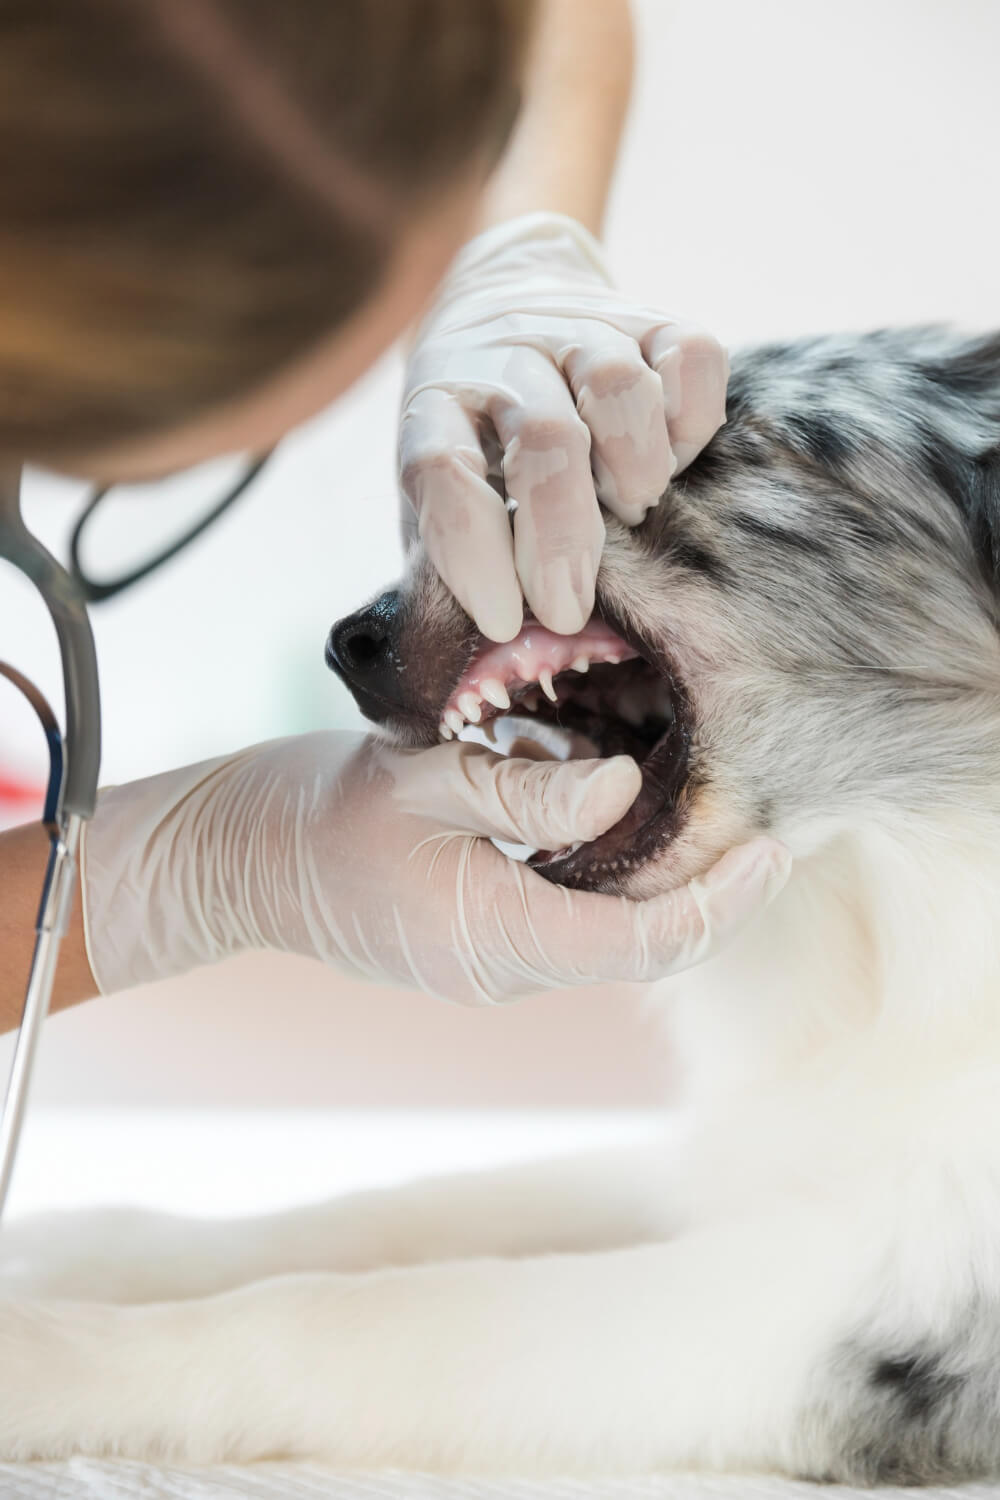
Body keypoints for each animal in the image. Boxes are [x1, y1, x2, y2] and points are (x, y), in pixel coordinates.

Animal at [1, 322, 1000, 1482]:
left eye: (709, 452)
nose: (352, 639)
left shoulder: (858, 1312)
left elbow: (332, 1319)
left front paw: (44, 1355)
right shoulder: (733, 1162)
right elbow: (405, 1204)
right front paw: (88, 1238)